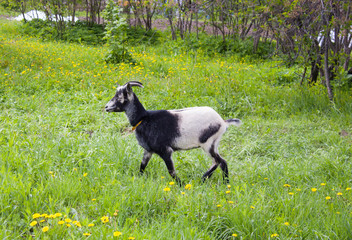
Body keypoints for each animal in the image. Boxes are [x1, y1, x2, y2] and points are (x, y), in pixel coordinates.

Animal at [105, 81, 242, 184]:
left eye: (120, 96)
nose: (106, 107)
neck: (144, 118)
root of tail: (223, 122)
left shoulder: (165, 151)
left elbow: (171, 171)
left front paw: (181, 185)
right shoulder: (148, 150)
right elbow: (142, 166)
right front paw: (138, 179)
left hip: (208, 144)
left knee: (220, 162)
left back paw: (219, 182)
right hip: (213, 144)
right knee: (219, 162)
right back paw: (209, 180)